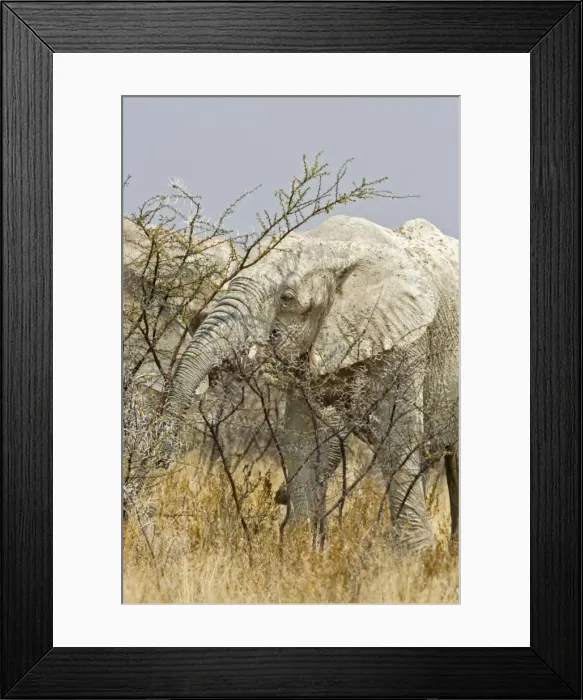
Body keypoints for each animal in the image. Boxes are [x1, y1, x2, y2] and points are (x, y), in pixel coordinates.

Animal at [161, 215, 459, 554]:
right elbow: (300, 436)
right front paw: (298, 549)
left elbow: (397, 434)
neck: (330, 245)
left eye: (287, 299)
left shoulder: (404, 335)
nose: (163, 459)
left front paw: (413, 557)